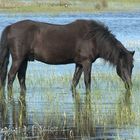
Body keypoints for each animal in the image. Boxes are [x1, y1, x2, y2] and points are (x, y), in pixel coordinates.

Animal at [0, 19, 135, 94]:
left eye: (132, 66)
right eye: (122, 66)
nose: (130, 85)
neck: (93, 38)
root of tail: (10, 27)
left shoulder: (79, 63)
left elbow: (75, 81)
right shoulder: (87, 62)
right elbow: (87, 81)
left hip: (24, 60)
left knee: (21, 77)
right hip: (18, 59)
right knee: (11, 77)